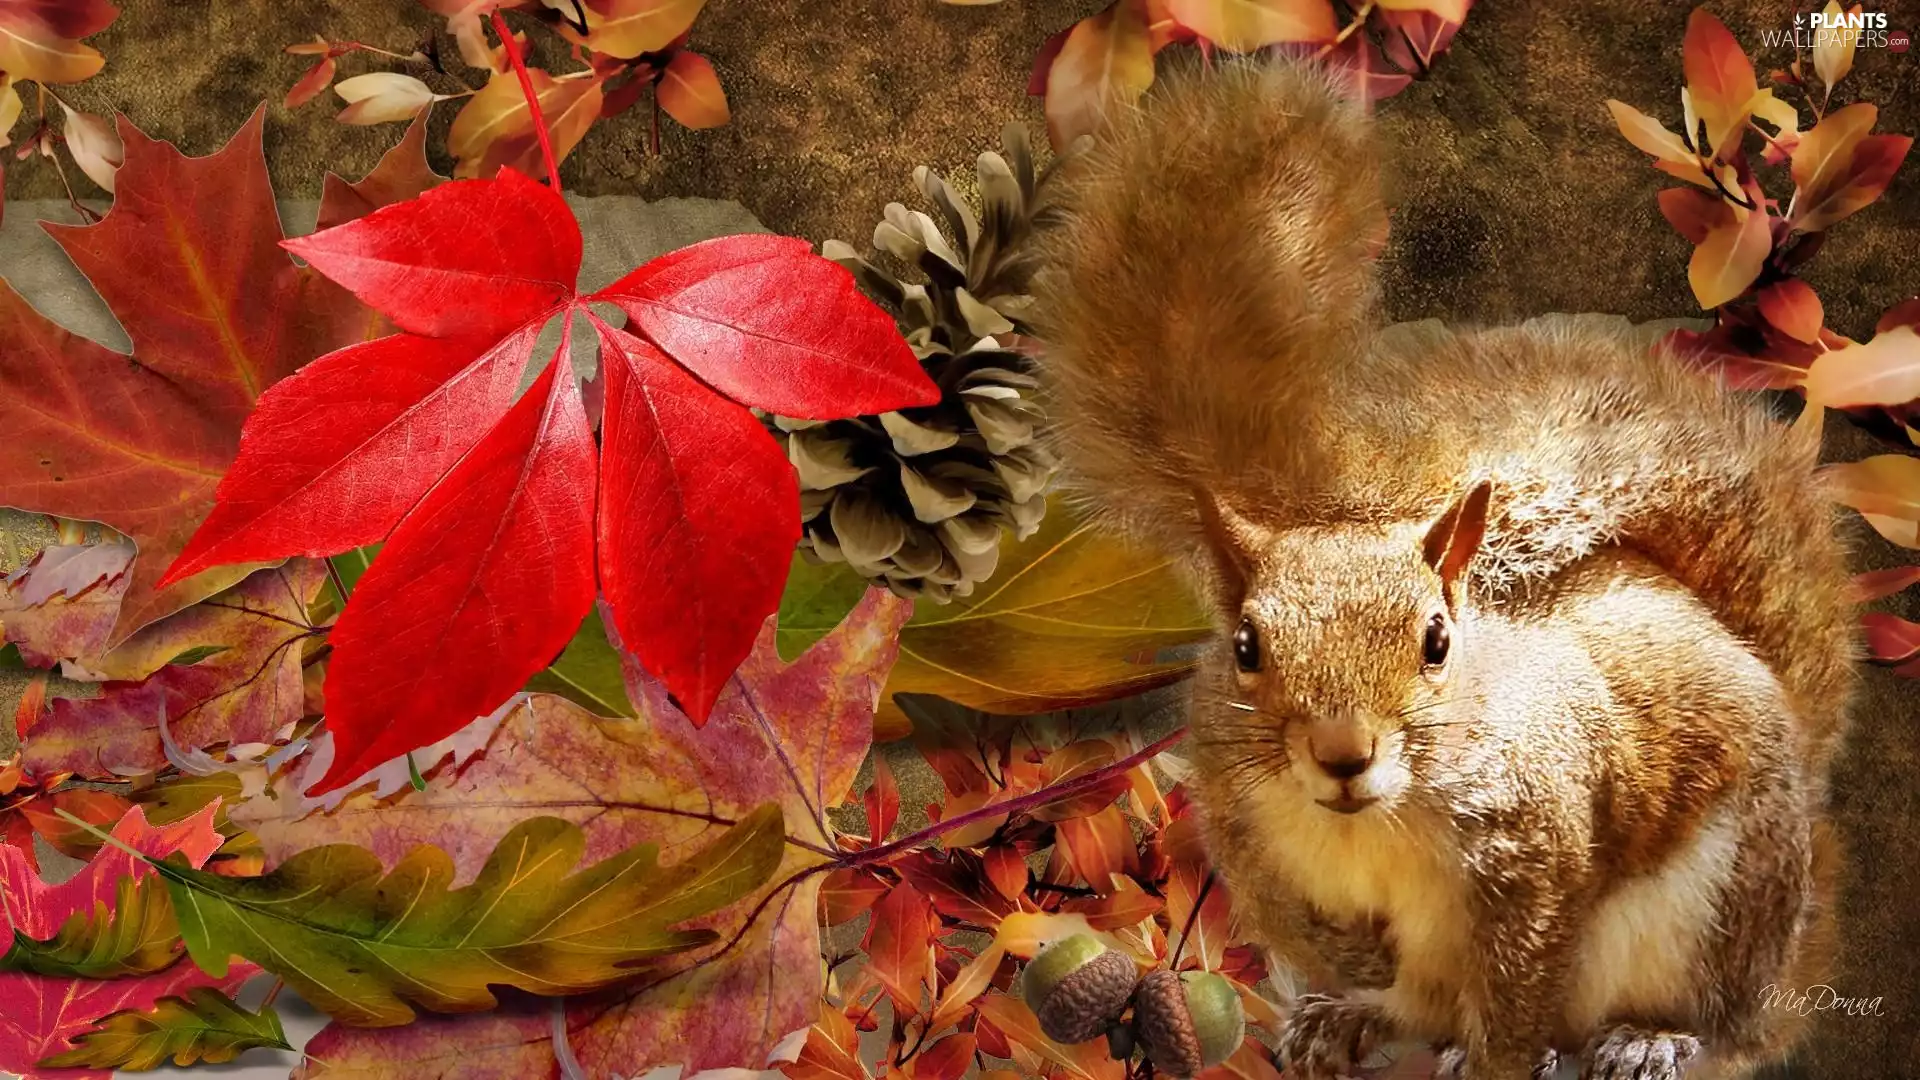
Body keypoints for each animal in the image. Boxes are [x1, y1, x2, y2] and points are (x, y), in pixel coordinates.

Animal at [1029, 60, 1857, 1080]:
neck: (1369, 820)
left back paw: (1647, 1039)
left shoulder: (1537, 845)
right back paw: (1349, 1014)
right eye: (1246, 646)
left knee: (1716, 1028)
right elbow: (1279, 899)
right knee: (1419, 1006)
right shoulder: (1234, 806)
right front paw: (1352, 958)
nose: (1344, 754)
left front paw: (1504, 1058)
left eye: (1436, 641)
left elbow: (1518, 984)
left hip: (1718, 910)